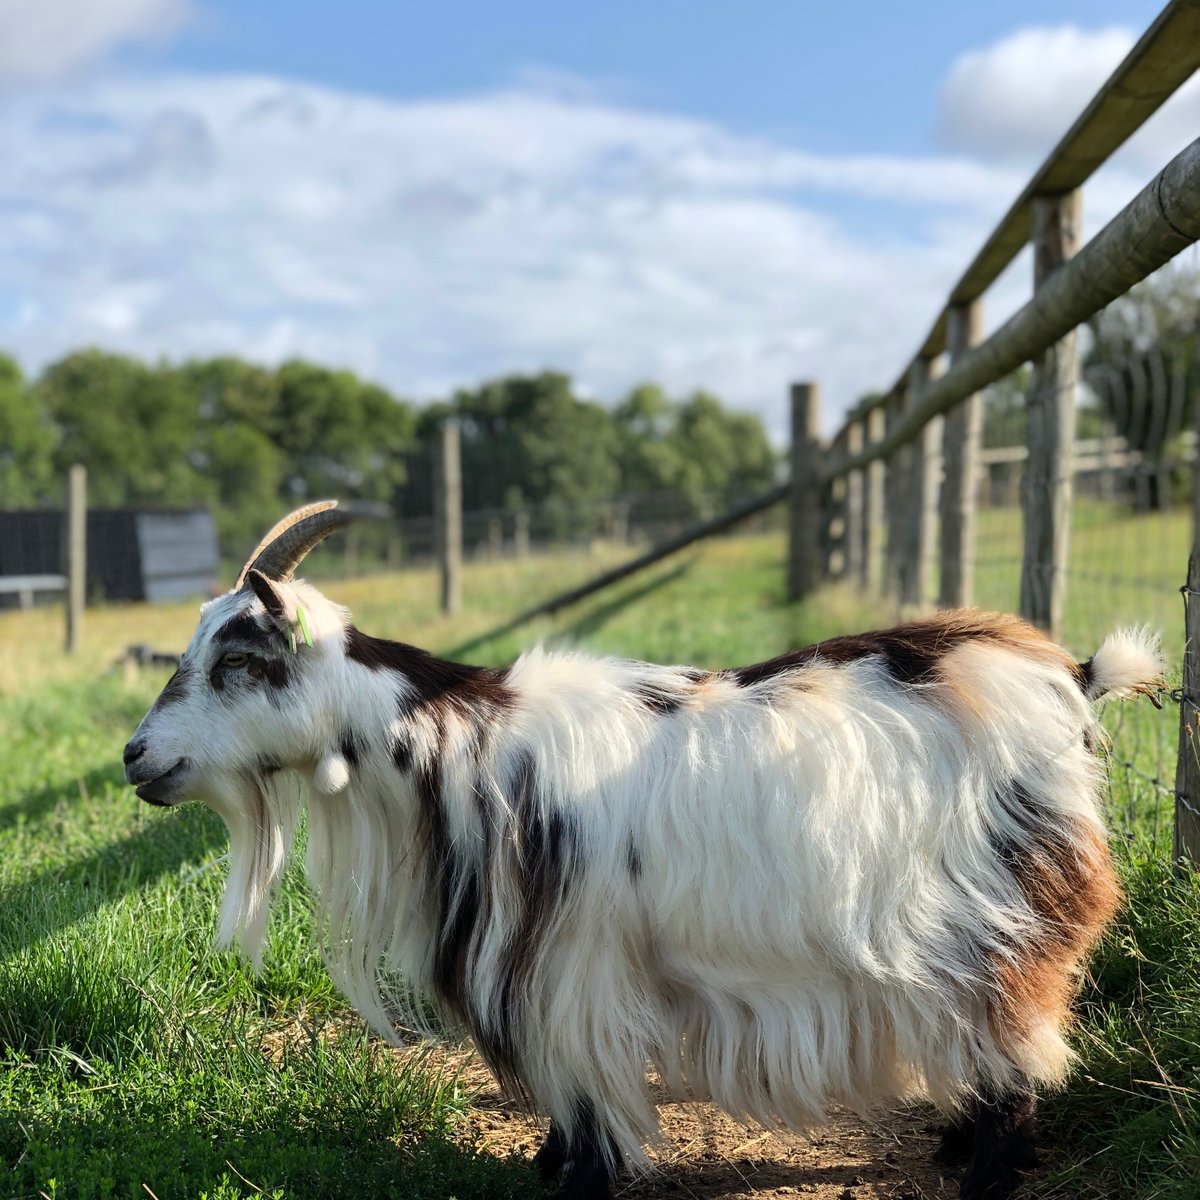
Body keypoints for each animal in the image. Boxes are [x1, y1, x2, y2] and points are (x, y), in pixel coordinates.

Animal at [123, 502, 1161, 1200]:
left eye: (238, 660)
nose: (136, 756)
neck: (462, 750)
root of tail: (1069, 677)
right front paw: (548, 1166)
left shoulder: (570, 966)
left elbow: (584, 1090)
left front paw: (578, 1180)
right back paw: (956, 1143)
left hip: (1003, 919)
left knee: (1016, 1045)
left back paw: (987, 1170)